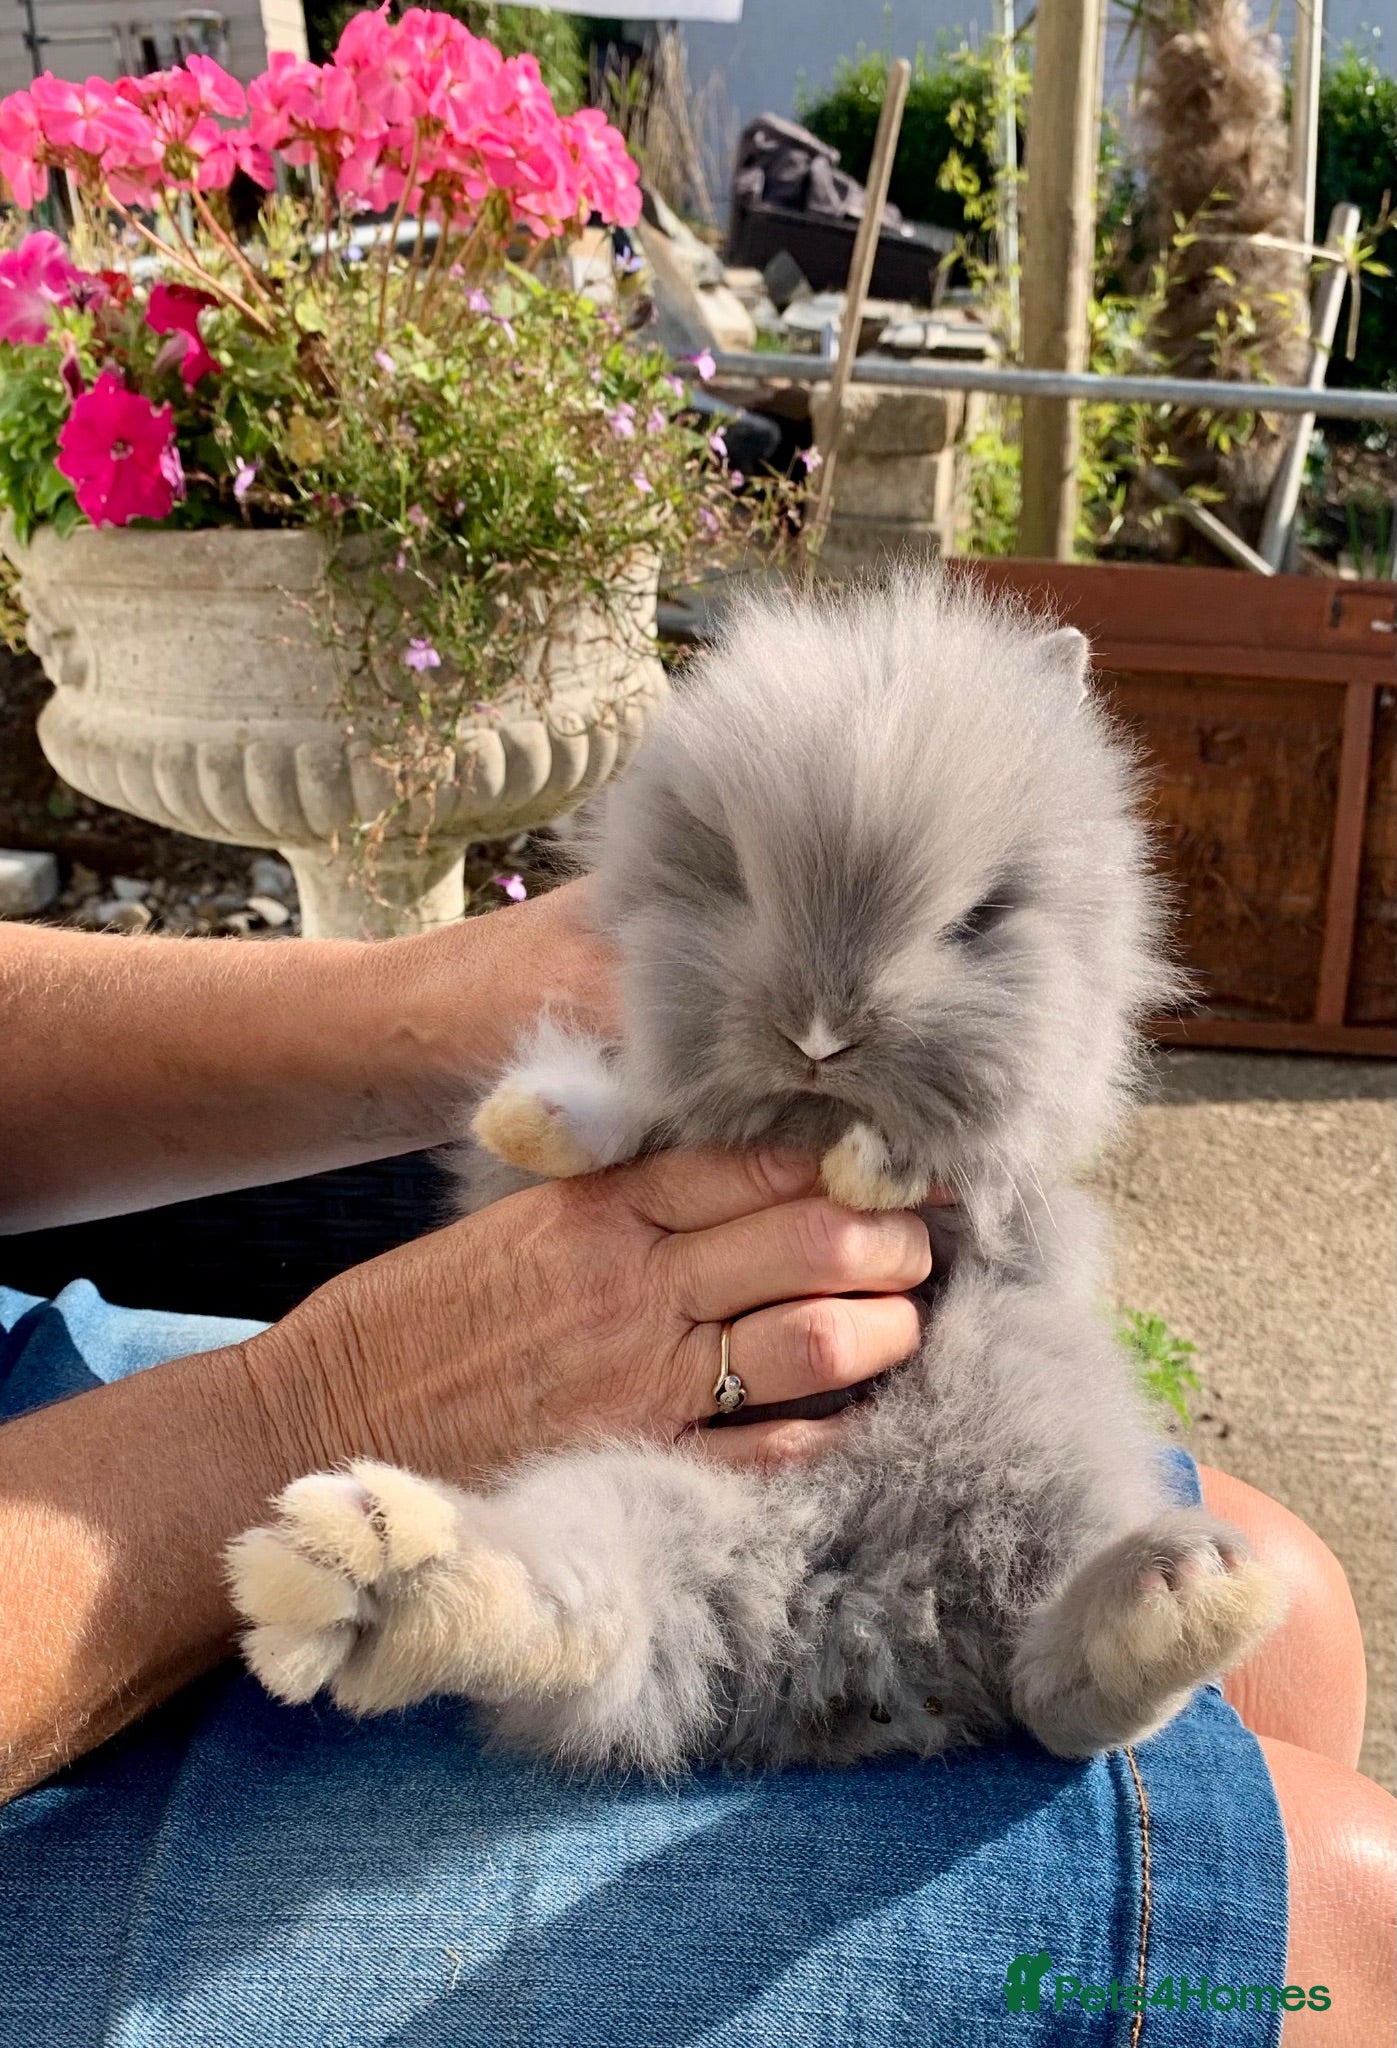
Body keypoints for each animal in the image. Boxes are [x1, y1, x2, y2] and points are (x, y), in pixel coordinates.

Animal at [227, 569, 1283, 1773]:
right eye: (732, 879)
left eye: (977, 918)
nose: (820, 1034)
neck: (803, 1122)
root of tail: (835, 1625)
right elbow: (619, 1114)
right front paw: (533, 1120)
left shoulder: (1017, 1193)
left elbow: (976, 1160)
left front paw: (875, 1166)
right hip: (641, 1500)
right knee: (583, 1617)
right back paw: (368, 1566)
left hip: (1035, 1420)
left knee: (1051, 1691)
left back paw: (1176, 1597)